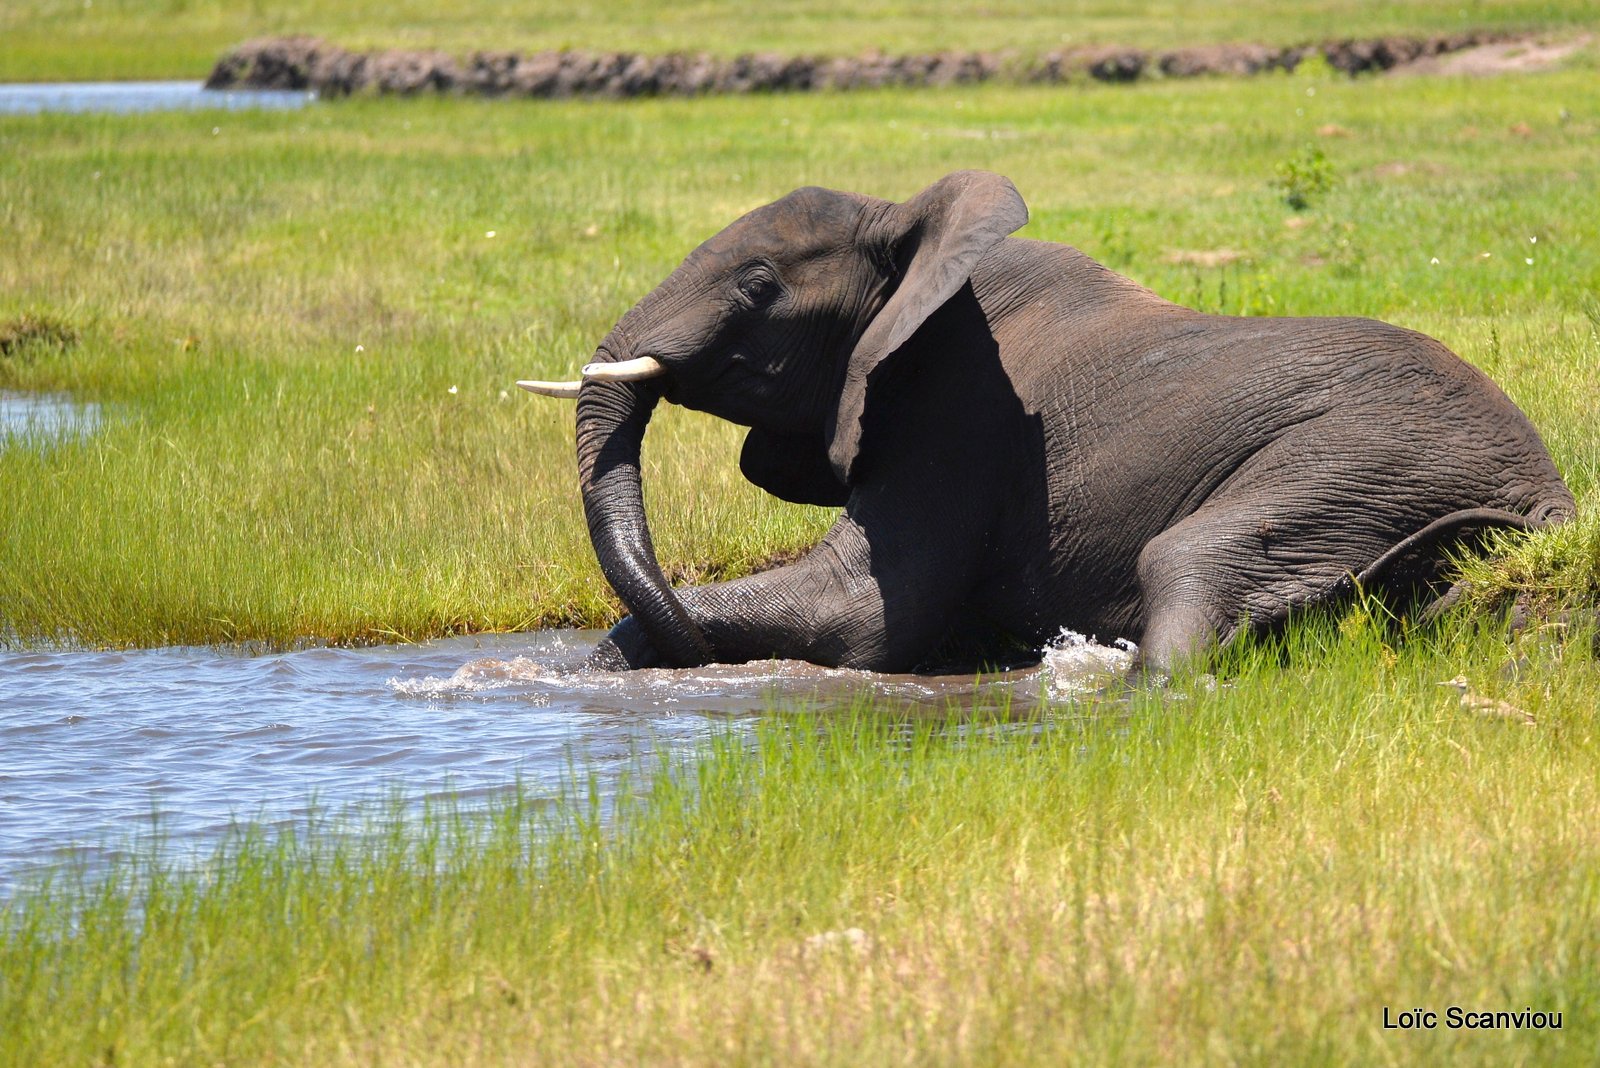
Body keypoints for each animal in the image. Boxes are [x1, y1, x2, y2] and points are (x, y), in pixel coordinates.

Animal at [524, 170, 1574, 671]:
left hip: (1364, 457)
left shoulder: (956, 411)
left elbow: (861, 613)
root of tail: (1550, 495)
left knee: (1190, 560)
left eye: (756, 286)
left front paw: (623, 656)